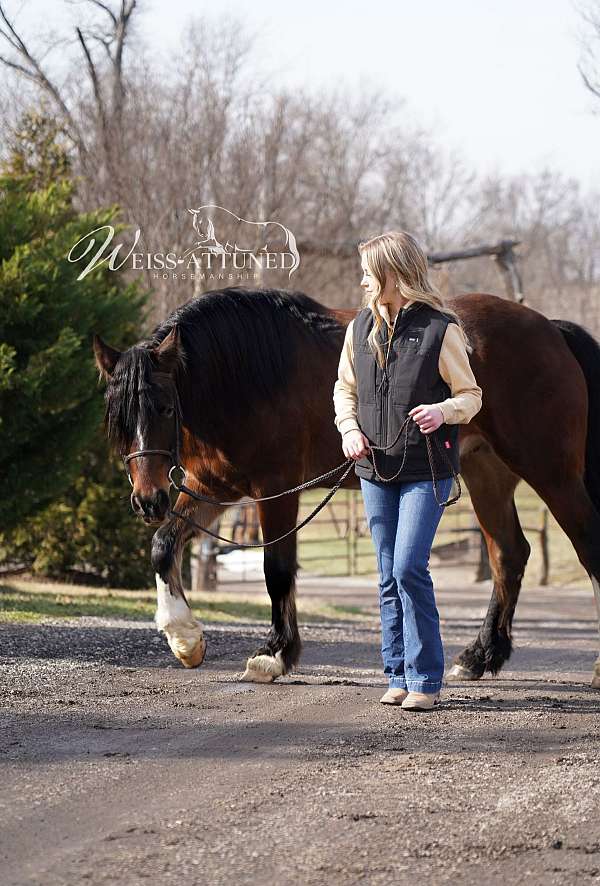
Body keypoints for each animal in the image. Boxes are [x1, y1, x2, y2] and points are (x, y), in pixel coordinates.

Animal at [91, 288, 600, 692]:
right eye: (116, 417)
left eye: (162, 406)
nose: (147, 500)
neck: (245, 374)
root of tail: (551, 329)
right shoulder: (211, 487)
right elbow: (163, 546)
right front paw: (185, 639)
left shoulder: (276, 489)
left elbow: (276, 569)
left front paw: (274, 655)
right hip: (486, 474)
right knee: (508, 556)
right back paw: (478, 657)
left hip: (553, 473)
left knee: (584, 547)